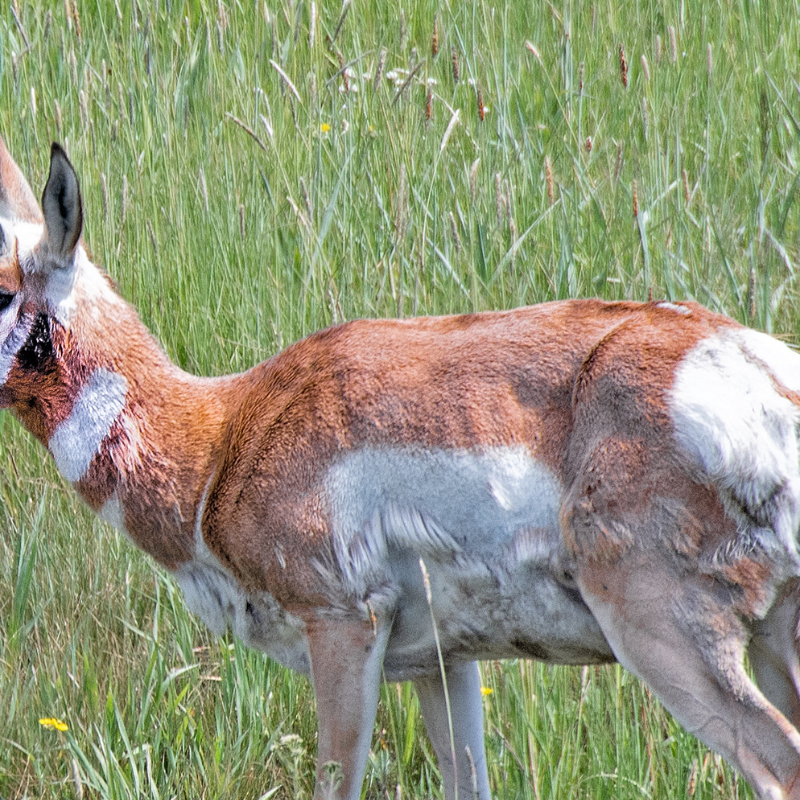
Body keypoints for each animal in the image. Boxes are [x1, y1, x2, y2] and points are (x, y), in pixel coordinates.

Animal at [0, 138, 800, 800]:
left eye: (3, 288)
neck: (223, 437)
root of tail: (756, 373)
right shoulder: (442, 664)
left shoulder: (344, 625)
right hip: (772, 640)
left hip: (663, 628)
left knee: (778, 767)